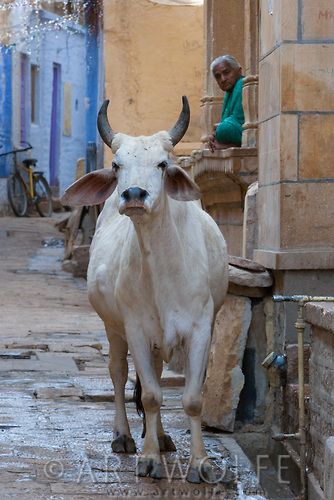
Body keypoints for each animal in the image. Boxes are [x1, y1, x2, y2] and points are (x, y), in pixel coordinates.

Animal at [62, 95, 230, 482]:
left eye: (162, 163)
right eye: (116, 164)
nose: (134, 194)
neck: (162, 269)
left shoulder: (200, 329)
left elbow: (192, 399)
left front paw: (200, 462)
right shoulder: (136, 329)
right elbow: (151, 395)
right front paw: (149, 459)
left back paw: (165, 436)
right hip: (113, 328)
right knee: (120, 374)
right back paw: (124, 436)